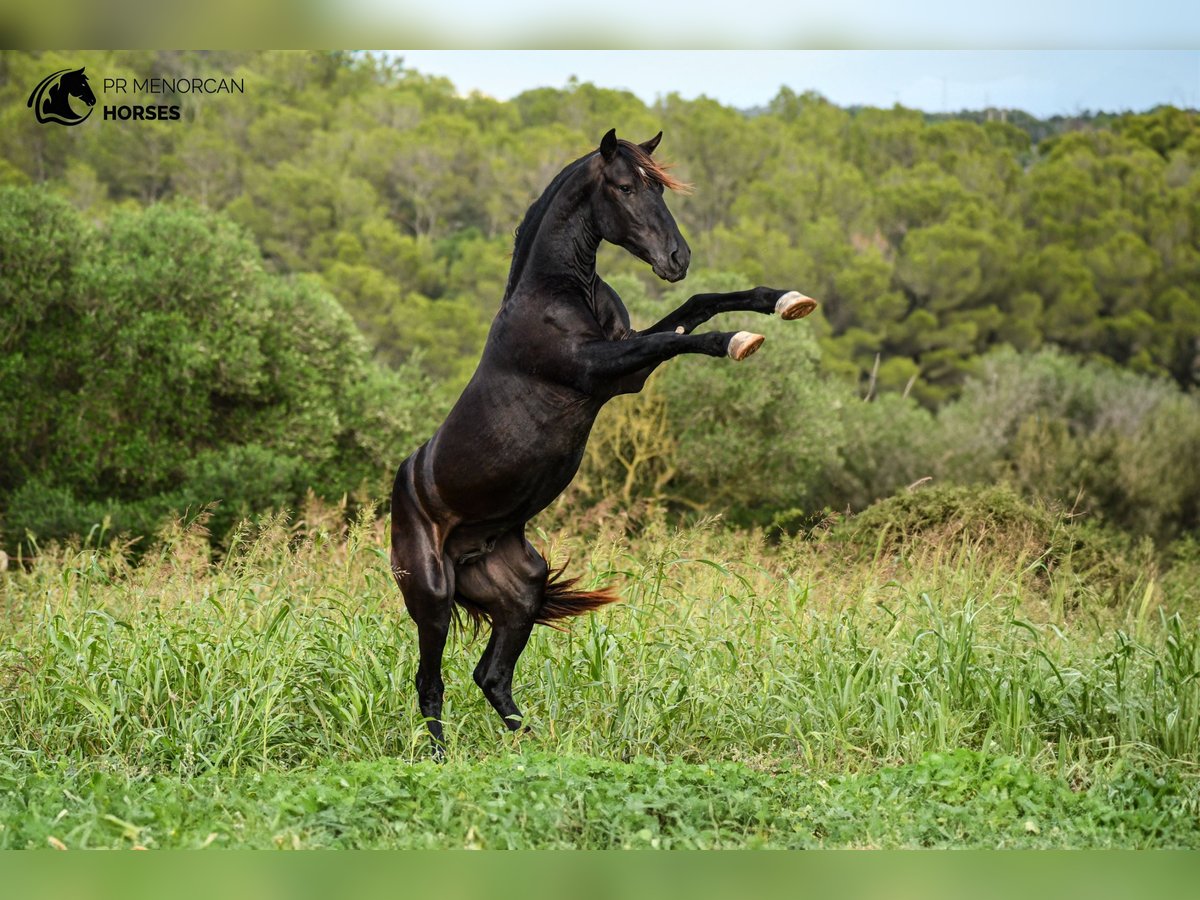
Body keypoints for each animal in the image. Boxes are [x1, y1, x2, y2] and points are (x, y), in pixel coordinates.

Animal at [391, 127, 816, 748]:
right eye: (624, 187)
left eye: (658, 187)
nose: (677, 258)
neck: (559, 293)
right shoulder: (602, 369)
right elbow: (681, 336)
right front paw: (740, 341)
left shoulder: (626, 367)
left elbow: (696, 306)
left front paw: (786, 301)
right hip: (432, 599)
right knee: (431, 684)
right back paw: (447, 760)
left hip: (521, 590)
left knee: (491, 676)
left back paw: (538, 747)